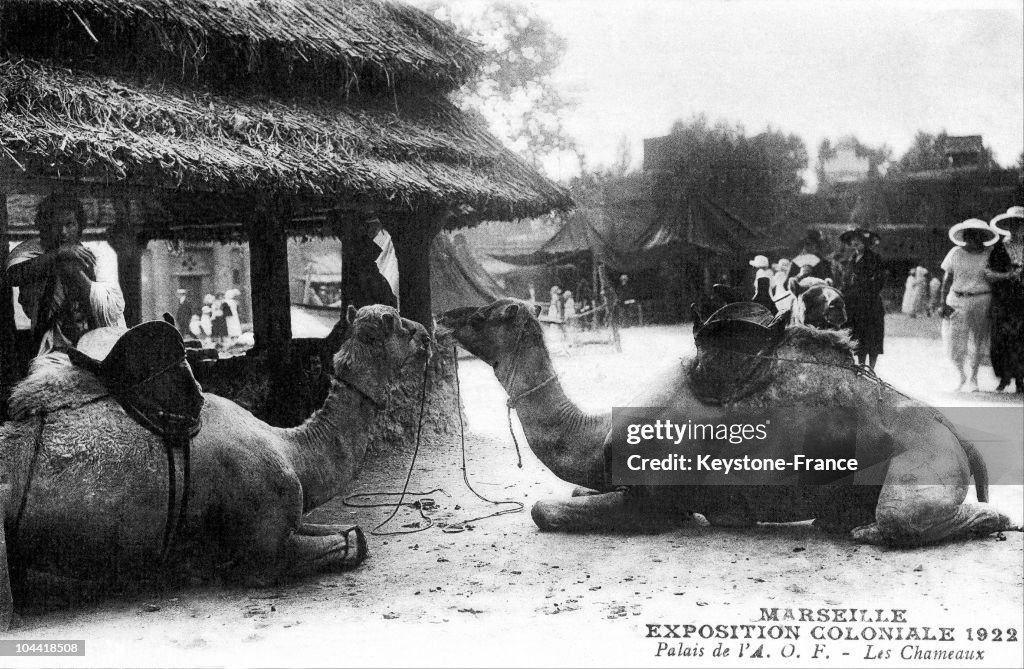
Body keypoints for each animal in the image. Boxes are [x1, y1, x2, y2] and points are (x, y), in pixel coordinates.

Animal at [0, 303, 428, 626]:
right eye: (395, 322)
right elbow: (350, 542)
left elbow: (353, 531)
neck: (291, 449)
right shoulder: (265, 545)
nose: (427, 333)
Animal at [438, 299, 1015, 545]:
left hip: (926, 454)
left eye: (484, 315)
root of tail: (954, 431)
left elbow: (542, 510)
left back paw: (986, 522)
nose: (442, 317)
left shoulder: (656, 503)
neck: (595, 431)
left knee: (899, 519)